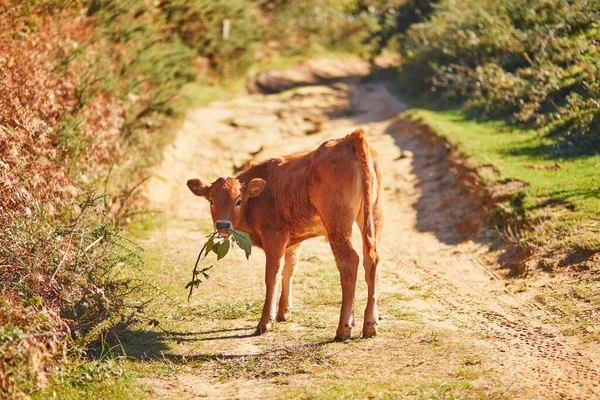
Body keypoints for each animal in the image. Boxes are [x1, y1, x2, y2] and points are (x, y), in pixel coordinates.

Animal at [188, 130, 384, 340]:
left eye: (239, 201)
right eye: (211, 200)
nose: (222, 224)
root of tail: (350, 138)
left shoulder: (274, 235)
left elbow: (272, 275)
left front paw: (265, 321)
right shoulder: (293, 238)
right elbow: (289, 269)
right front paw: (283, 311)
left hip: (337, 224)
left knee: (349, 261)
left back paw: (344, 328)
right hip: (373, 216)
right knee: (372, 259)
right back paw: (370, 324)